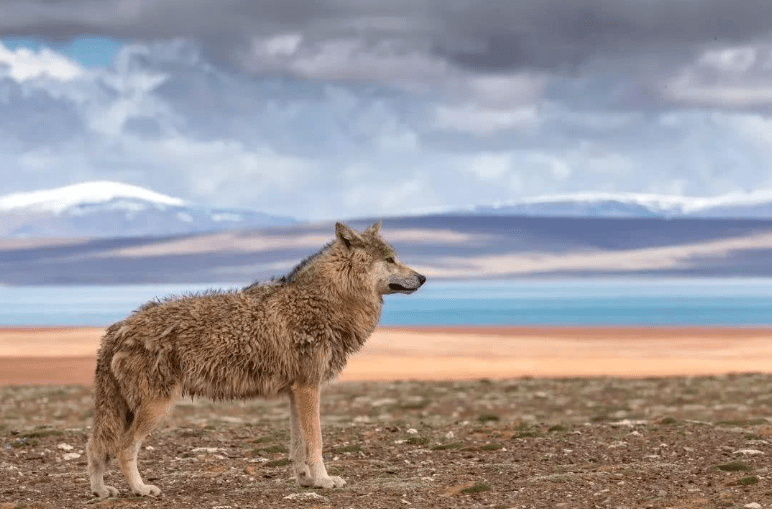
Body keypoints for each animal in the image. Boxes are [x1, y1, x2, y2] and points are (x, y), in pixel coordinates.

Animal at [86, 221, 426, 496]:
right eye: (390, 259)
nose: (423, 277)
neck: (327, 301)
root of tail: (117, 329)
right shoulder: (309, 388)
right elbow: (315, 441)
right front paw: (325, 480)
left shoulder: (296, 391)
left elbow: (298, 444)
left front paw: (306, 480)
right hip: (155, 407)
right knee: (122, 447)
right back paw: (141, 489)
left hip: (125, 409)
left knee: (95, 446)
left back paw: (101, 491)